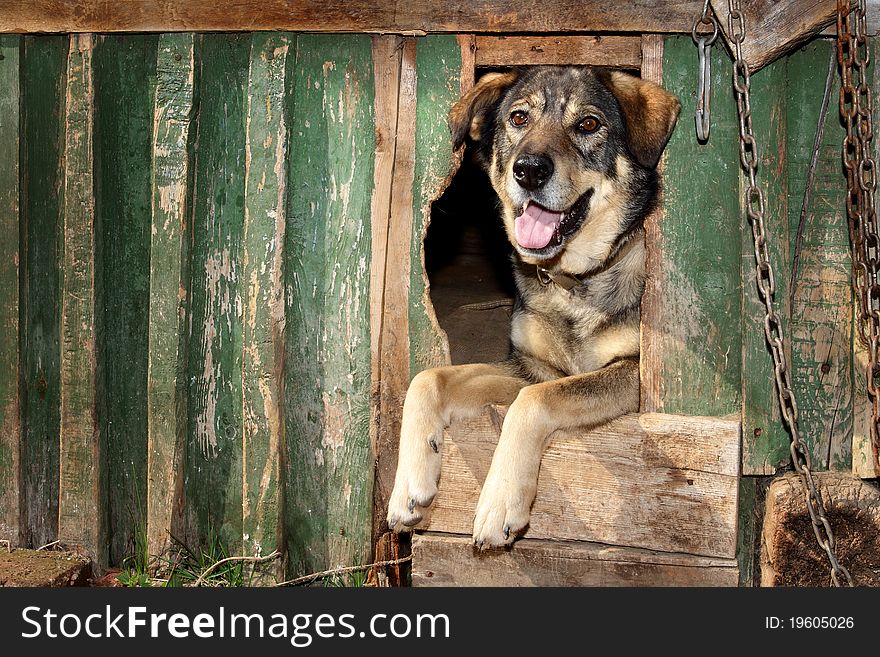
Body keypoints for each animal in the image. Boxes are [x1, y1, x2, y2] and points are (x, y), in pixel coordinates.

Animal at [384, 65, 680, 548]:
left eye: (589, 124)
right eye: (519, 117)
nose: (529, 171)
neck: (573, 283)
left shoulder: (630, 374)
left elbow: (532, 402)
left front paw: (499, 503)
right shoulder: (530, 367)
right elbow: (429, 378)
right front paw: (409, 486)